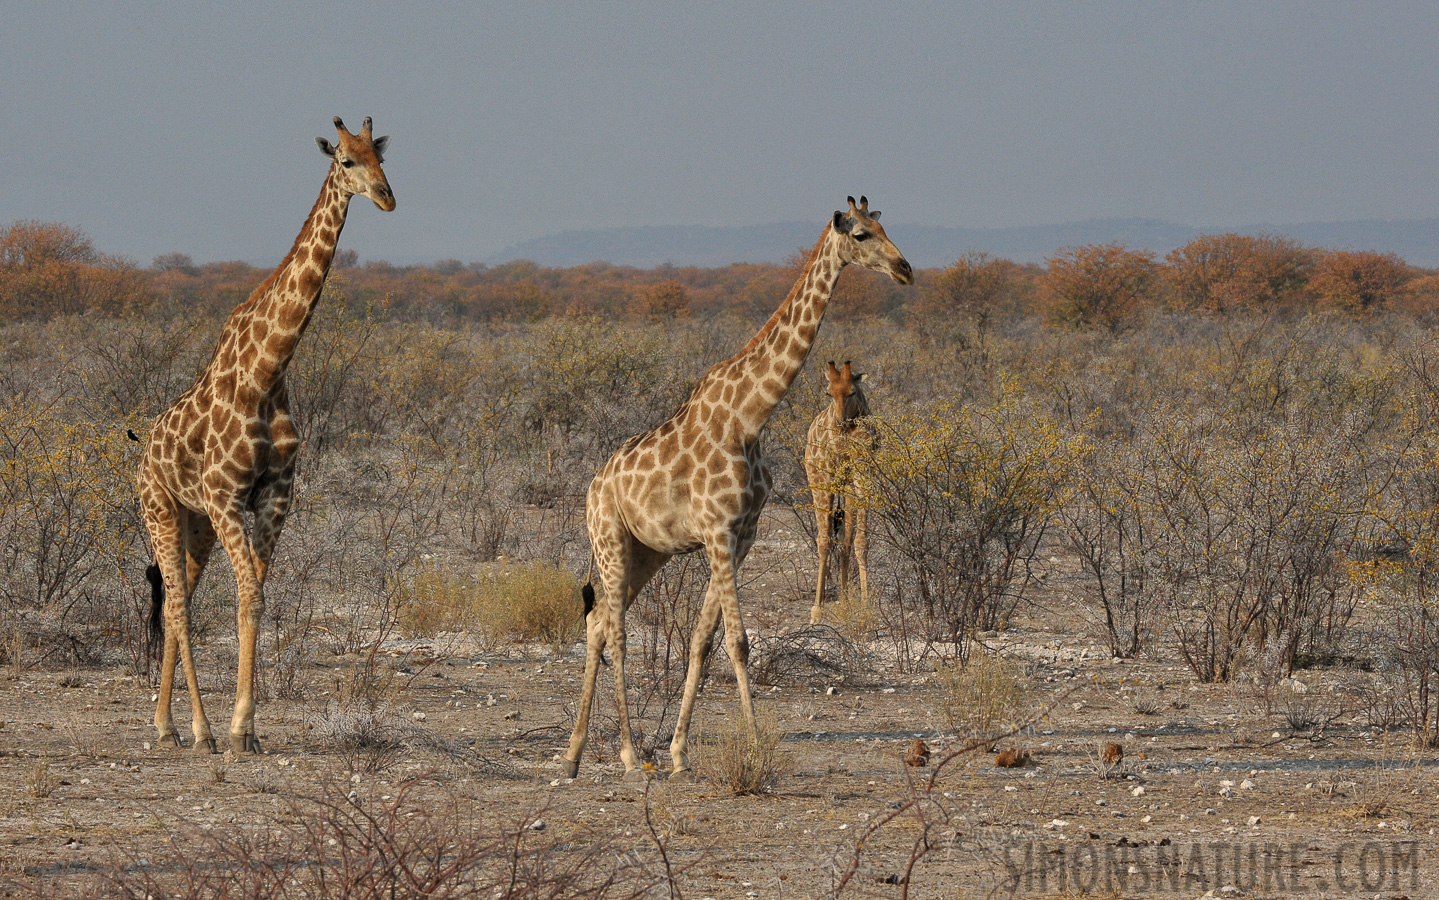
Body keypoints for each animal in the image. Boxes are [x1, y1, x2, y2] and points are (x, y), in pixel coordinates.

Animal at [138, 117, 397, 748]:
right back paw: (195, 730)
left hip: (196, 523)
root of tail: (142, 452)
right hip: (161, 509)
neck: (269, 370)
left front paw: (248, 728)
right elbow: (249, 598)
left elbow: (253, 598)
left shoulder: (275, 496)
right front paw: (233, 731)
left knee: (183, 596)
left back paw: (166, 723)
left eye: (380, 157)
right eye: (346, 161)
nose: (387, 197)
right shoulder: (229, 496)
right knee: (176, 606)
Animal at [561, 195, 909, 777]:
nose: (906, 269)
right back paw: (628, 753)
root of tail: (591, 488)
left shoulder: (740, 537)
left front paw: (680, 753)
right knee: (617, 632)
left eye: (885, 227)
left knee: (598, 624)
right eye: (861, 235)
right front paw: (753, 743)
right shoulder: (719, 532)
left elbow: (704, 642)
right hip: (608, 540)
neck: (750, 416)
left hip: (644, 552)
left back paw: (573, 754)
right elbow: (740, 642)